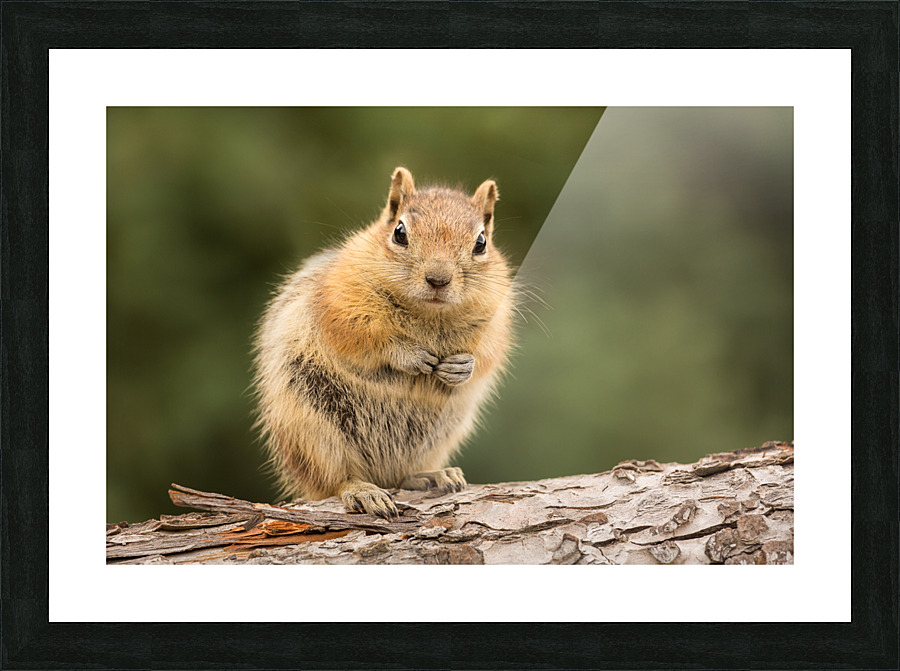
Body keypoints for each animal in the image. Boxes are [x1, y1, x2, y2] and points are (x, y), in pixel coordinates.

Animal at [253, 167, 515, 519]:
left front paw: (462, 366)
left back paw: (432, 475)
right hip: (312, 429)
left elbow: (489, 352)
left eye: (481, 242)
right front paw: (408, 355)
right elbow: (362, 336)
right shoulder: (341, 300)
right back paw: (363, 490)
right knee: (335, 479)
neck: (428, 315)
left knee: (402, 475)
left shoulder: (497, 315)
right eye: (399, 233)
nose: (438, 279)